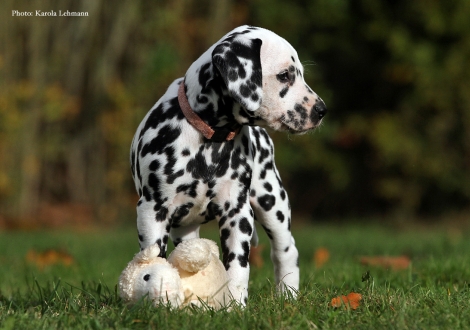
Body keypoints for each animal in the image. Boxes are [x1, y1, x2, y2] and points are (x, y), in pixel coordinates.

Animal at [130, 24, 324, 306]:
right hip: (185, 228)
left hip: (272, 202)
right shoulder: (153, 210)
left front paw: (234, 306)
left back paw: (288, 294)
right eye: (285, 75)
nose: (322, 110)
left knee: (286, 251)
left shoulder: (237, 214)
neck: (209, 141)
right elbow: (155, 259)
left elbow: (237, 268)